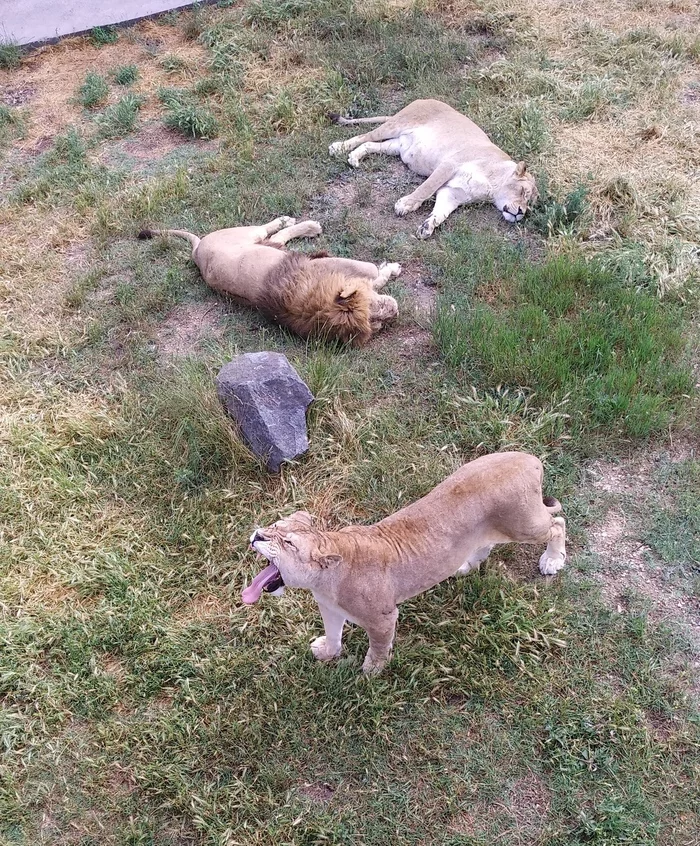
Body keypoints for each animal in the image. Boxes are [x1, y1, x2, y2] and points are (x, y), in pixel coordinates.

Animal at [138, 217, 400, 346]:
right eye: (375, 321)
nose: (396, 311)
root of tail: (197, 250)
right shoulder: (328, 264)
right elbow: (370, 272)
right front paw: (389, 269)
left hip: (262, 244)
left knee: (278, 236)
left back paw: (303, 225)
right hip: (247, 235)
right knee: (269, 229)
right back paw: (302, 224)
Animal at [243, 454, 568, 680]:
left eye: (288, 543)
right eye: (274, 526)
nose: (258, 535)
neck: (323, 581)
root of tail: (530, 458)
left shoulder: (383, 618)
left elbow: (378, 647)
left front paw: (371, 671)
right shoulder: (330, 608)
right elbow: (334, 635)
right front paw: (327, 652)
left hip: (524, 524)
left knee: (557, 523)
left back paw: (553, 559)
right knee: (486, 544)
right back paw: (465, 567)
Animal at [330, 97, 540, 240]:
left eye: (530, 205)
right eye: (523, 192)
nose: (522, 212)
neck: (492, 189)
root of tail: (424, 99)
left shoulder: (453, 194)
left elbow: (440, 213)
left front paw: (427, 227)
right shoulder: (449, 164)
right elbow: (426, 188)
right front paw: (406, 204)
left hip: (397, 146)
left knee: (370, 145)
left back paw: (354, 158)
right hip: (395, 125)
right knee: (365, 136)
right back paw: (339, 147)